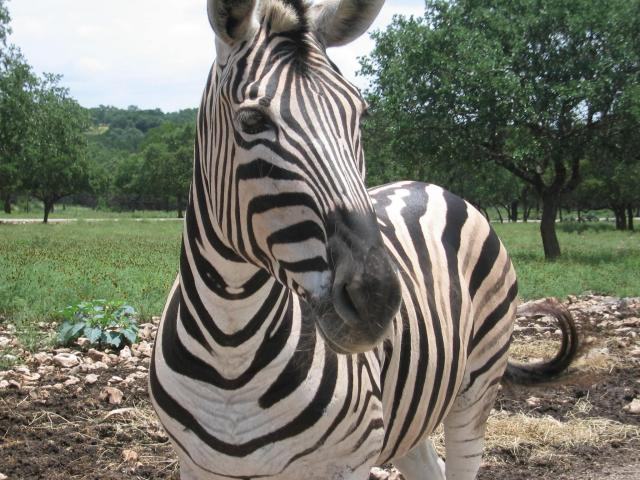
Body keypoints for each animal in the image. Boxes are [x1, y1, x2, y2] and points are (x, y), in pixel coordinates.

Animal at [149, 1, 578, 479]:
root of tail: (428, 185)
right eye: (252, 120)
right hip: (411, 413)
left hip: (477, 387)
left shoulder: (347, 462)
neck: (231, 350)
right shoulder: (197, 465)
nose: (376, 300)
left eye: (361, 115)